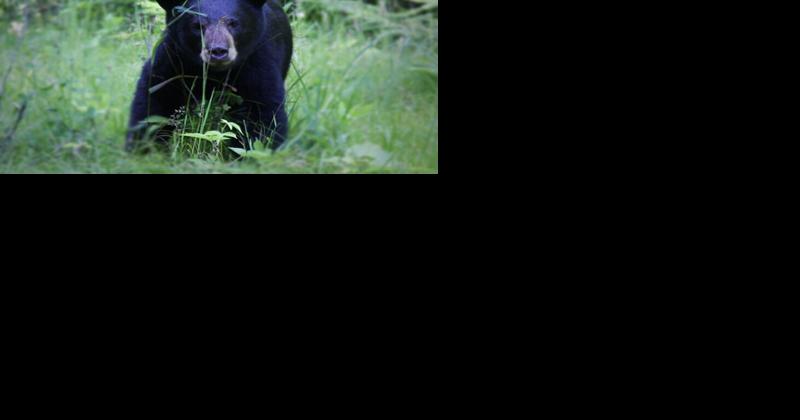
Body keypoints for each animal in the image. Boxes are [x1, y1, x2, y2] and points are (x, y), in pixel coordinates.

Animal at [126, 0, 293, 152]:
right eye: (197, 26)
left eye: (233, 23)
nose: (218, 51)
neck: (215, 73)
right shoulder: (173, 59)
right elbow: (155, 99)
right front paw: (142, 147)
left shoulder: (257, 61)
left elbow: (261, 110)